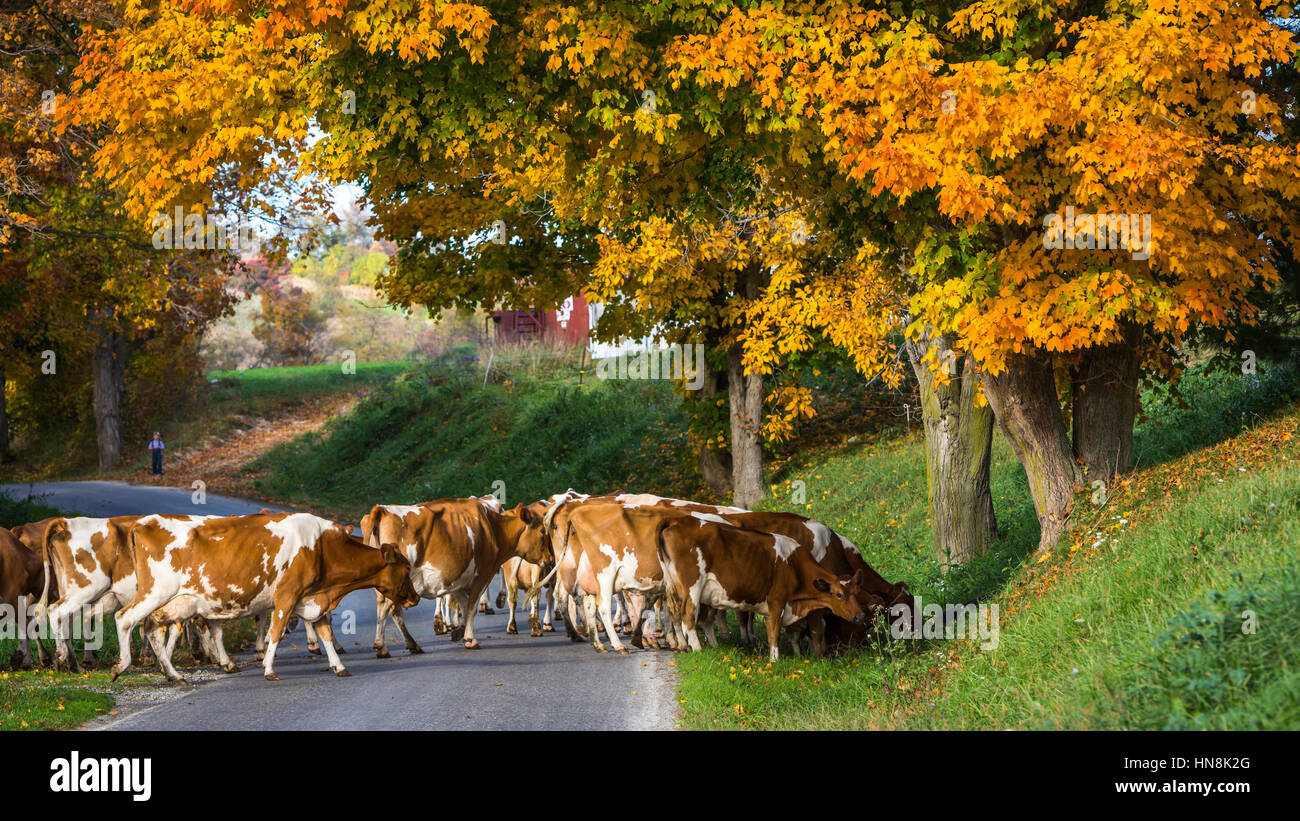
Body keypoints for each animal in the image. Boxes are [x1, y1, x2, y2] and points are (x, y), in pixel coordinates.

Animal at [112, 511, 417, 682]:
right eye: (405, 568)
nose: (414, 598)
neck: (322, 548)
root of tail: (143, 523)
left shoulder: (312, 597)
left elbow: (326, 633)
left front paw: (339, 666)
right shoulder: (287, 594)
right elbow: (276, 632)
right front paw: (269, 669)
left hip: (175, 603)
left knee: (152, 628)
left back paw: (173, 675)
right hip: (154, 592)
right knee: (124, 618)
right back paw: (122, 665)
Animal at [361, 497, 551, 655]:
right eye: (543, 531)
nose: (550, 559)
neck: (493, 528)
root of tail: (383, 509)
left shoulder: (457, 580)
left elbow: (465, 607)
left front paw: (460, 632)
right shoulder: (482, 575)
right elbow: (472, 607)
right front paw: (470, 639)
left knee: (389, 607)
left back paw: (410, 644)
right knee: (389, 607)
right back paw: (383, 646)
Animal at [655, 515, 870, 661]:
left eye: (857, 593)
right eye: (839, 595)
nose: (859, 616)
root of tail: (677, 521)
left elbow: (778, 631)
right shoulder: (777, 600)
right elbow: (775, 633)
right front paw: (774, 661)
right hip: (692, 588)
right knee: (688, 616)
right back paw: (698, 648)